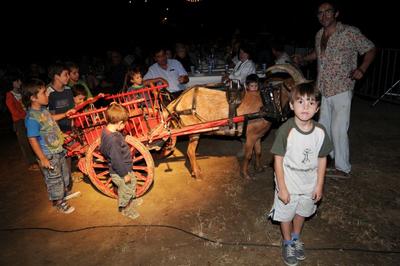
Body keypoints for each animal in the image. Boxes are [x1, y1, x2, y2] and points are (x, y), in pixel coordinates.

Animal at [166, 64, 310, 179]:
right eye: (298, 90)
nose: (311, 104)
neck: (267, 103)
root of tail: (178, 101)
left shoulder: (258, 135)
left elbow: (258, 151)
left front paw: (259, 168)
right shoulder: (251, 135)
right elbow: (248, 155)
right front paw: (245, 174)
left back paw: (196, 170)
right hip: (194, 131)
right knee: (190, 151)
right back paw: (197, 173)